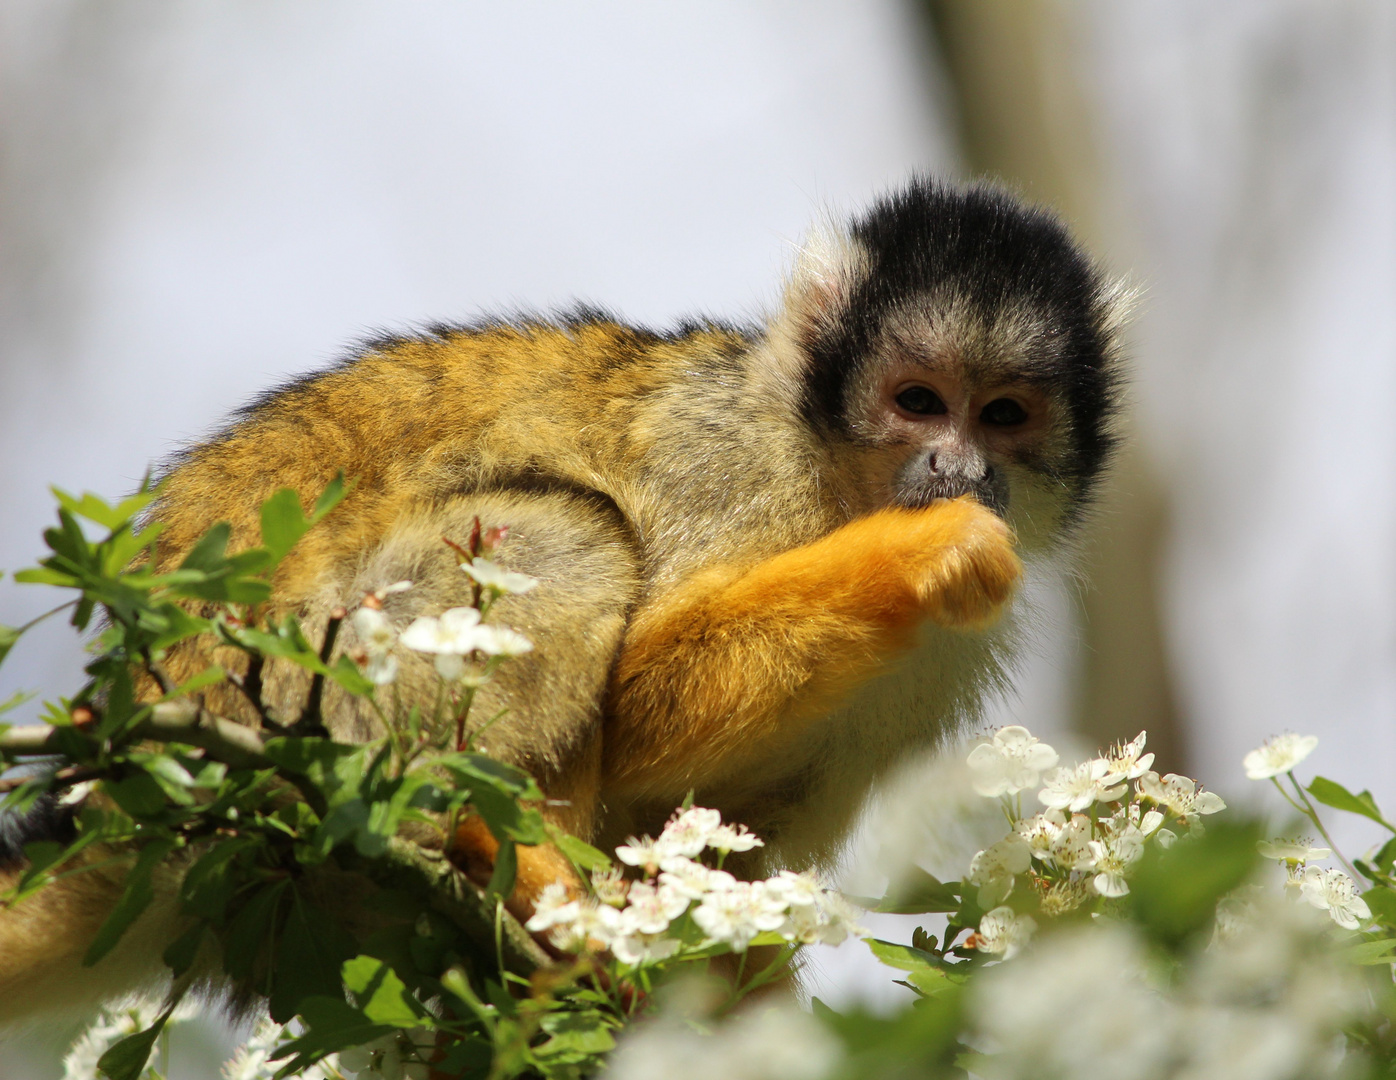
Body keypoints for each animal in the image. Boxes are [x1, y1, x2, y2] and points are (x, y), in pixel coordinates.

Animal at [0, 180, 1122, 1021]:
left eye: (1004, 415)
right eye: (917, 401)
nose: (958, 468)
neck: (833, 480)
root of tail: (130, 794)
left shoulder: (948, 659)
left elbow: (730, 850)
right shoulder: (730, 465)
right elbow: (639, 712)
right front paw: (922, 551)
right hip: (298, 677)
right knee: (573, 529)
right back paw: (507, 860)